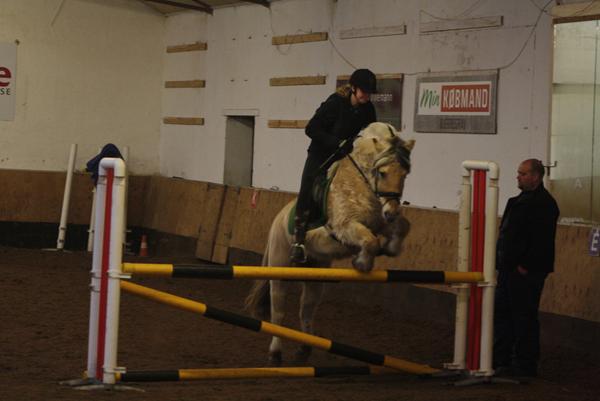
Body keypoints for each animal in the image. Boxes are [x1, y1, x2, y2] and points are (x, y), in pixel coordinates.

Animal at [246, 122, 414, 362]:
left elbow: (401, 227)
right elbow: (370, 241)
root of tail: (277, 219)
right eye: (382, 173)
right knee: (278, 312)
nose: (391, 211)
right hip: (280, 269)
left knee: (306, 309)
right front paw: (362, 263)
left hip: (316, 275)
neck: (360, 183)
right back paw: (276, 353)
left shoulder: (378, 222)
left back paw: (304, 350)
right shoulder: (345, 226)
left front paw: (389, 248)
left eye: (405, 174)